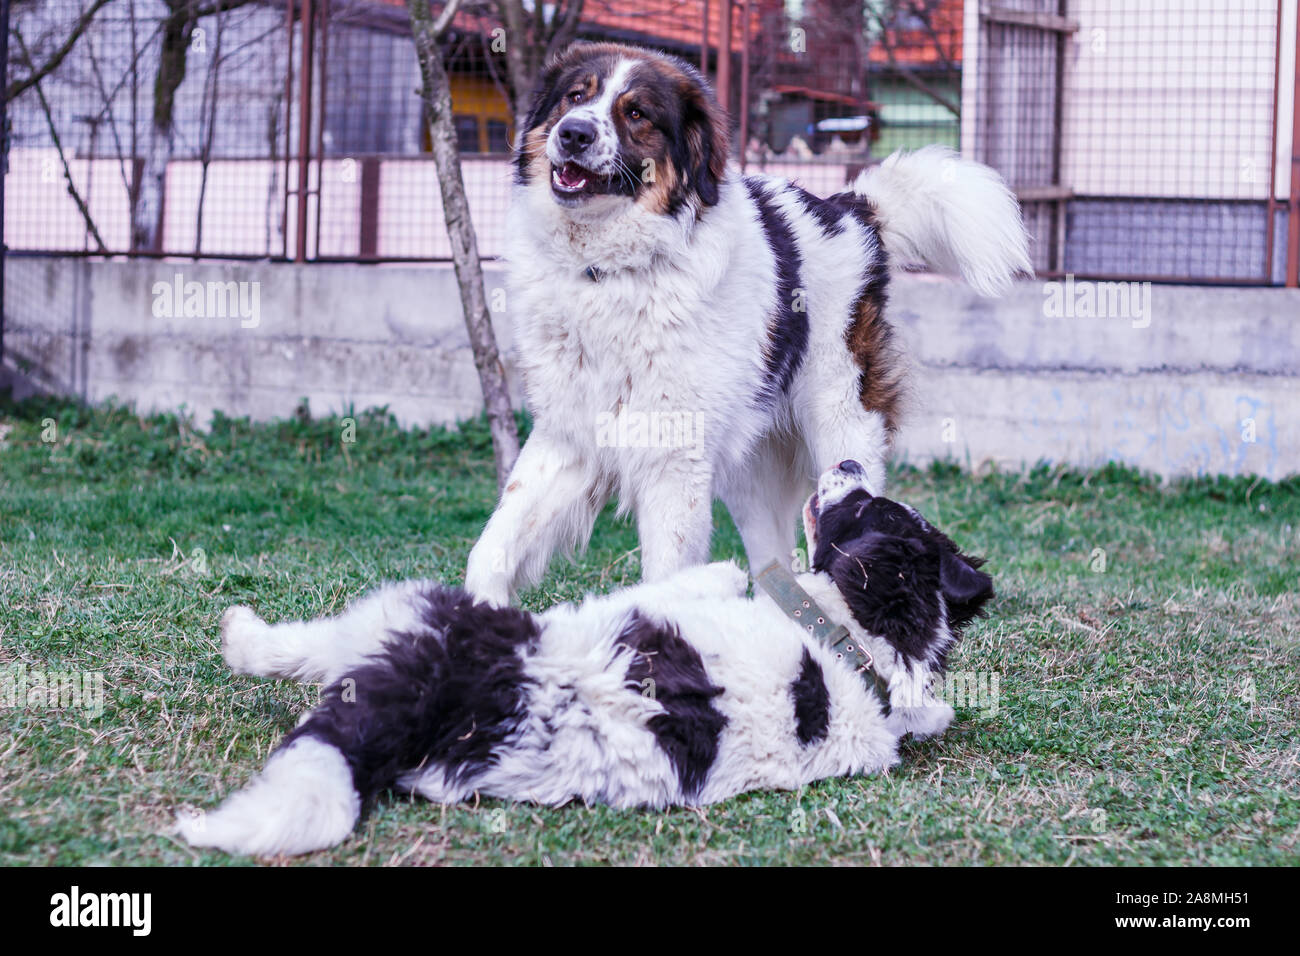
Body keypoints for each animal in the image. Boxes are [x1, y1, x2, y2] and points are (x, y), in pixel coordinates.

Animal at [175, 460, 993, 858]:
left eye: (865, 510)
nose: (847, 460)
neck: (853, 648)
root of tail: (470, 698)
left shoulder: (701, 585)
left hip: (418, 614)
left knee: (303, 649)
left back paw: (243, 633)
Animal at [462, 42, 1029, 606]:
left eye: (637, 113)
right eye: (575, 97)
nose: (573, 133)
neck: (607, 271)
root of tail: (847, 208)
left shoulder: (675, 461)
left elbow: (664, 580)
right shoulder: (567, 438)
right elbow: (490, 548)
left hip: (842, 426)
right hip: (748, 470)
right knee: (774, 561)